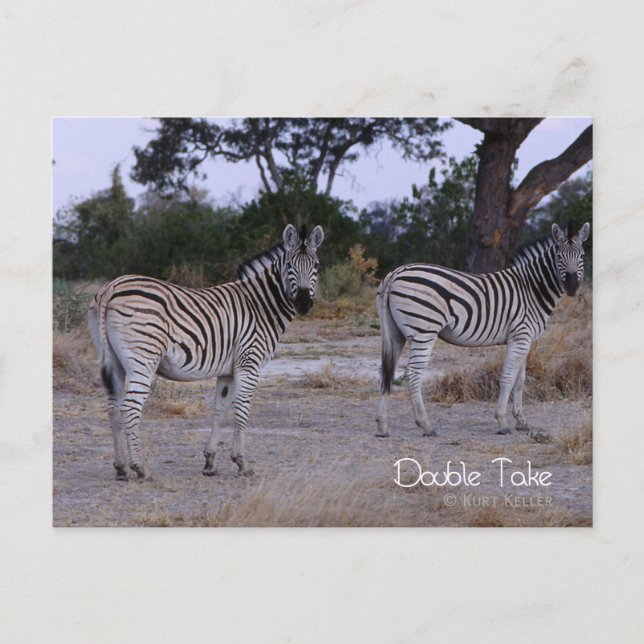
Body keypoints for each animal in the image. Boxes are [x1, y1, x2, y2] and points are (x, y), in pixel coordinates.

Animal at [88, 224, 324, 480]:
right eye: (290, 265)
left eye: (316, 266)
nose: (303, 304)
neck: (261, 306)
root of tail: (112, 286)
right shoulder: (249, 362)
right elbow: (241, 411)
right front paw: (242, 463)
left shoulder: (227, 370)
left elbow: (220, 411)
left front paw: (210, 462)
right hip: (142, 359)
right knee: (130, 408)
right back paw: (140, 468)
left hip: (115, 362)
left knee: (113, 409)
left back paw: (121, 467)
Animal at [375, 221, 590, 439]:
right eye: (559, 256)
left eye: (581, 256)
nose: (572, 287)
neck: (532, 289)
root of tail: (395, 273)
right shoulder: (520, 337)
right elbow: (508, 378)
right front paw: (502, 421)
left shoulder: (525, 340)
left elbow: (520, 380)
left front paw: (521, 421)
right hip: (423, 331)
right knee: (412, 374)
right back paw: (426, 425)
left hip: (395, 333)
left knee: (386, 371)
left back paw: (383, 426)